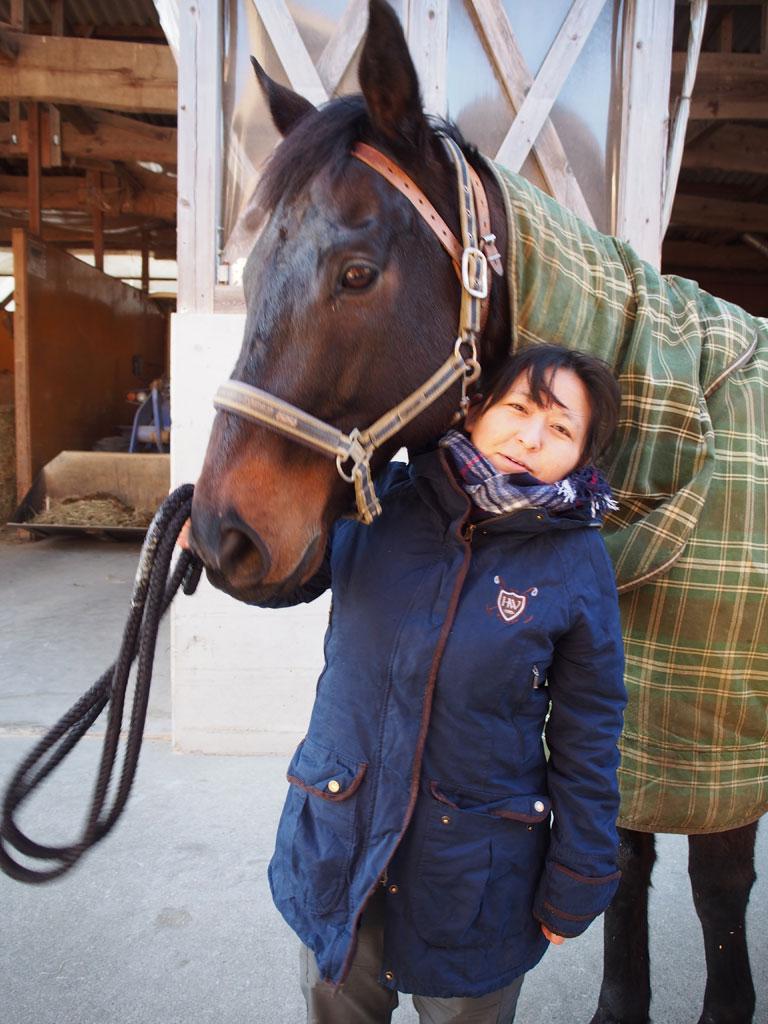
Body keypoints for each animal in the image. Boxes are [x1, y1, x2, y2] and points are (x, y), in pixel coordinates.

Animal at [189, 2, 765, 1024]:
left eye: (357, 272)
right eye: (249, 271)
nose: (224, 533)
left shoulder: (717, 741)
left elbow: (718, 885)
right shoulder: (637, 727)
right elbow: (620, 859)